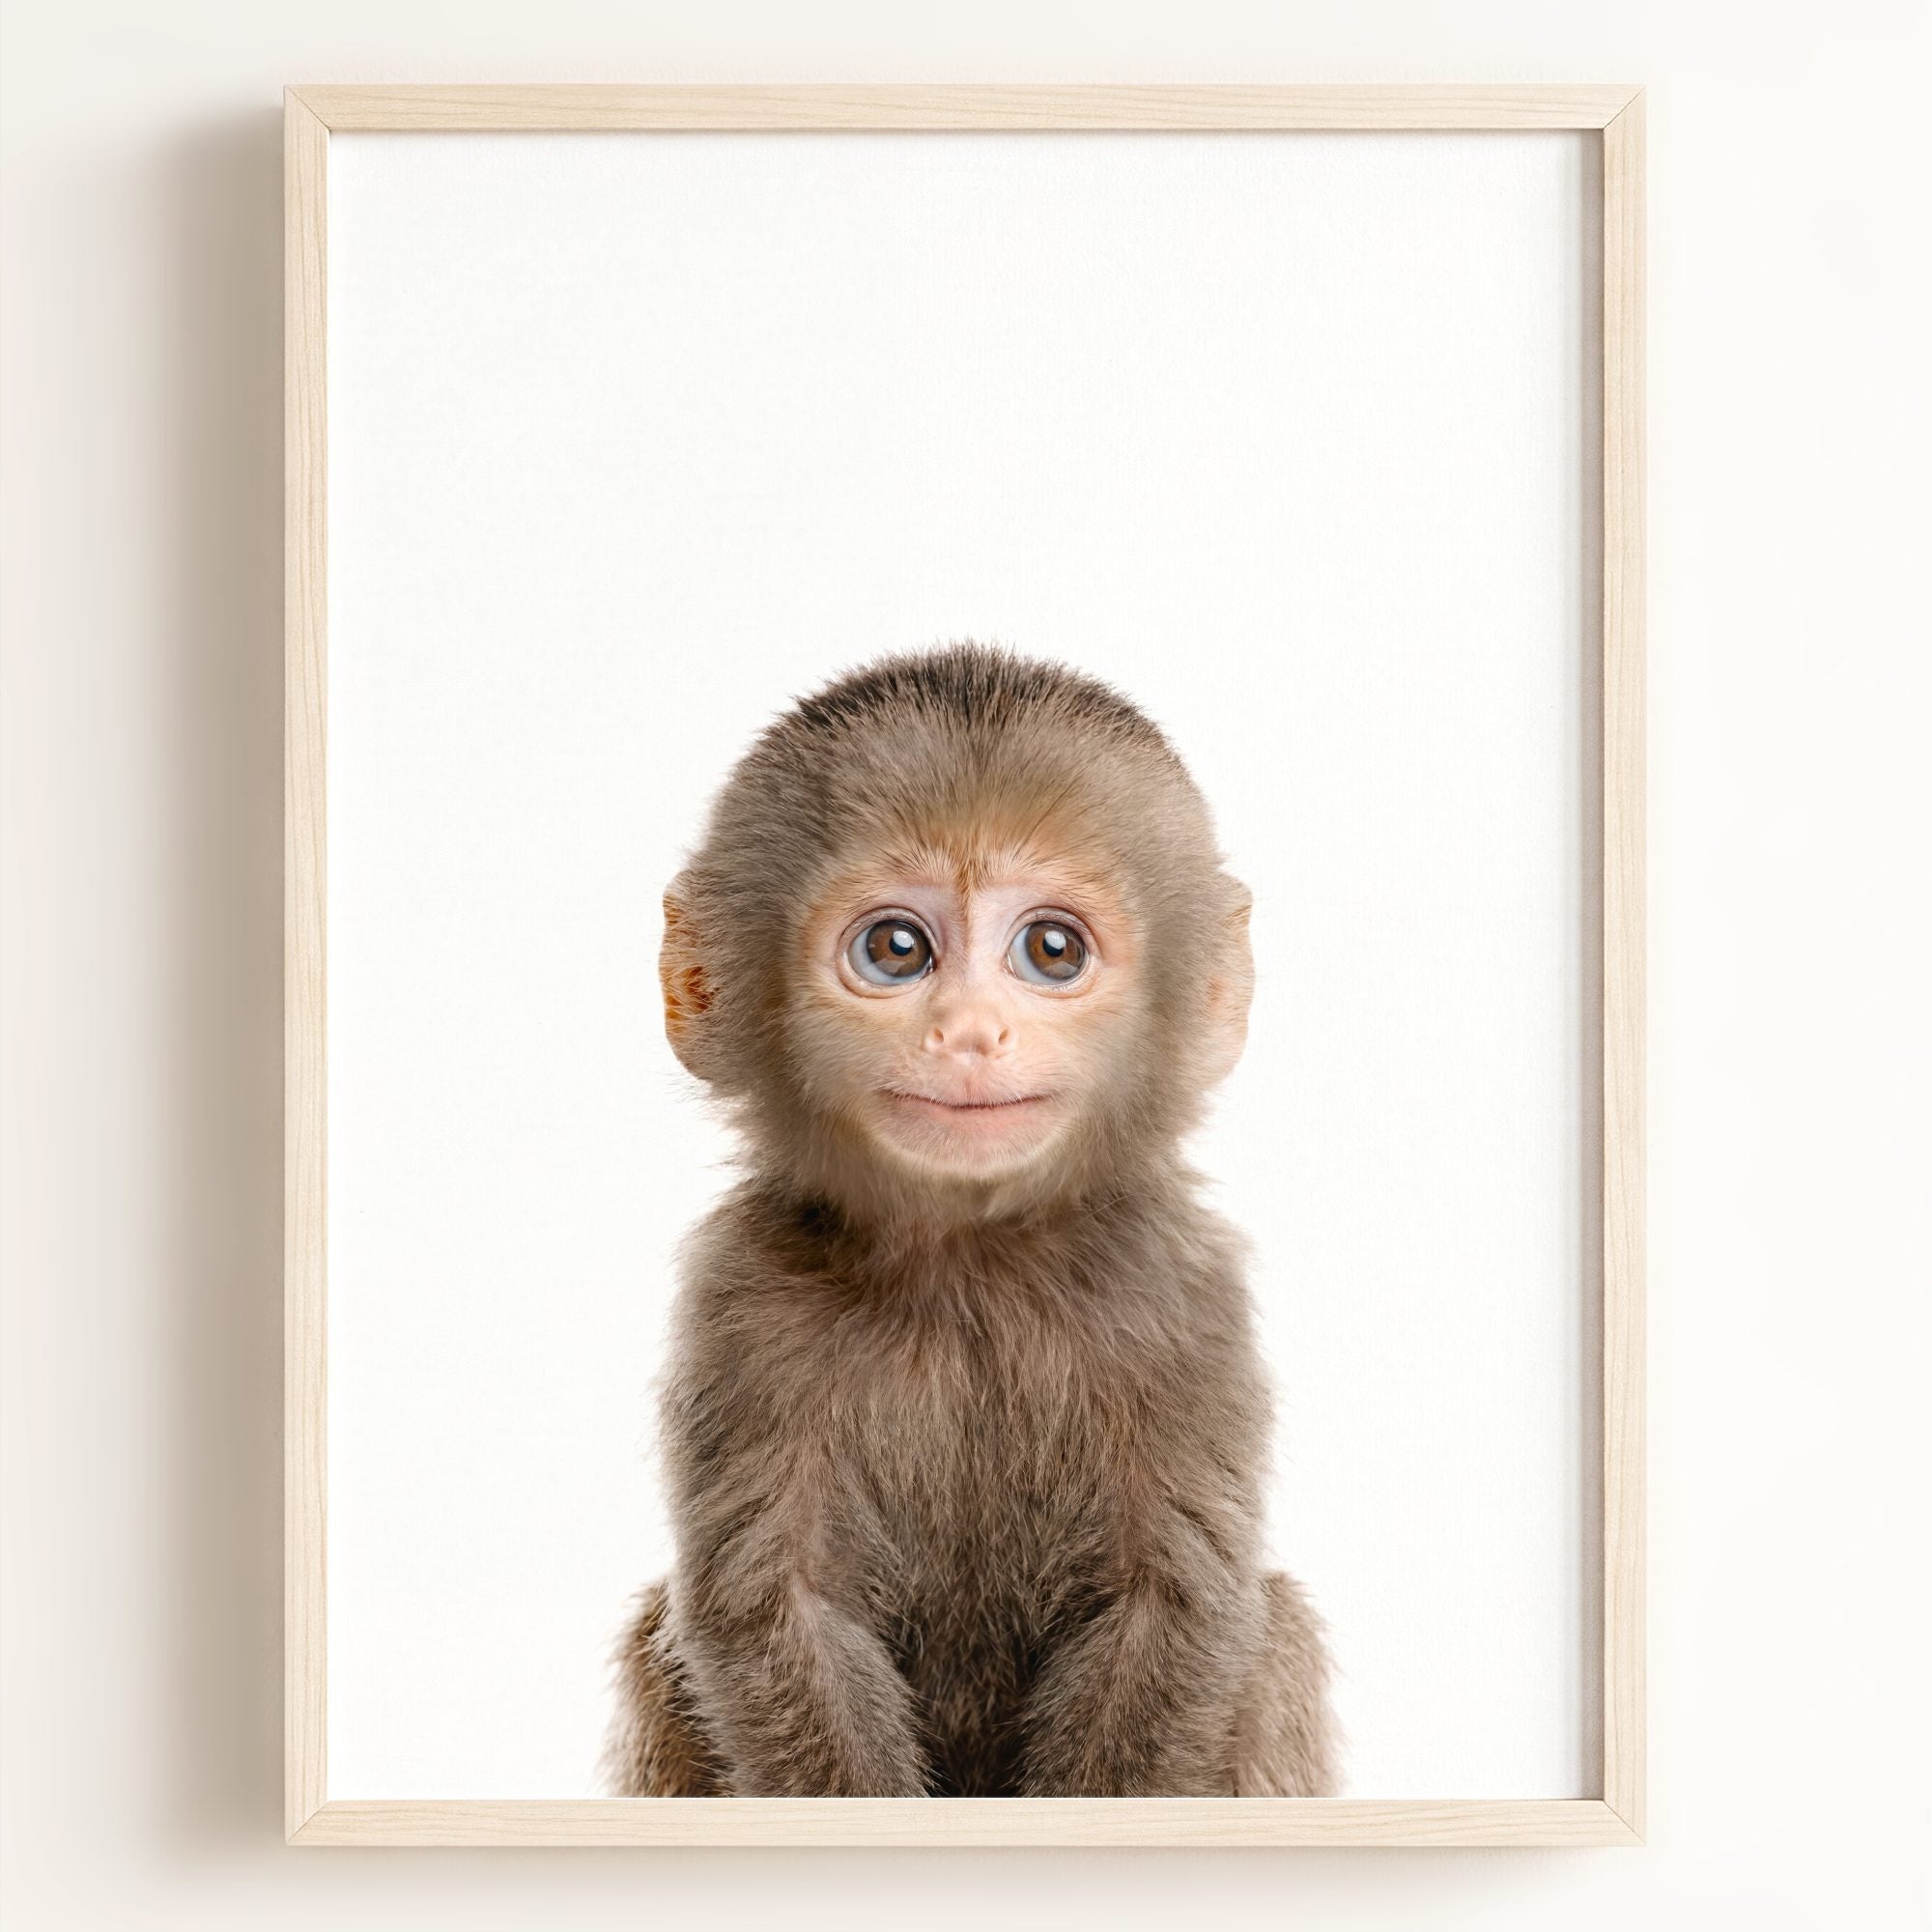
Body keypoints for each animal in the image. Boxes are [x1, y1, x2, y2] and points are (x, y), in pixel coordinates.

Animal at [605, 644, 1337, 1798]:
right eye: (897, 948)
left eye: (1052, 950)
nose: (970, 1032)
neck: (969, 1264)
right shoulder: (739, 1296)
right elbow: (778, 1610)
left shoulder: (1183, 1293)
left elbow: (1171, 1605)